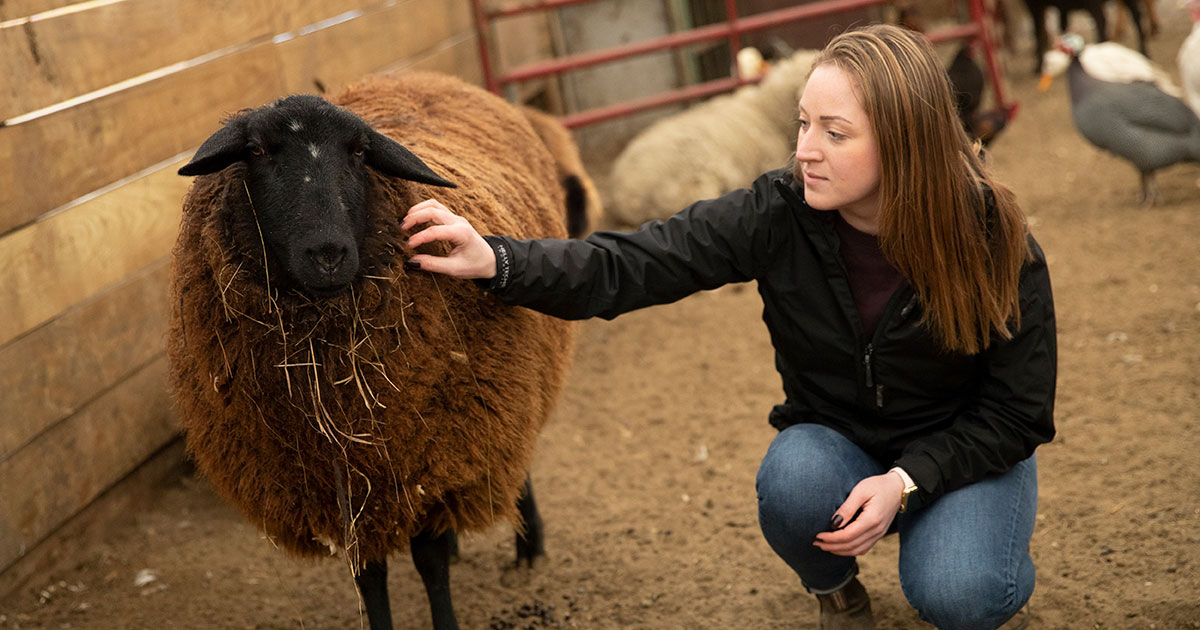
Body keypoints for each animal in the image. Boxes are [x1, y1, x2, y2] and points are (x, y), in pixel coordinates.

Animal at [168, 71, 581, 630]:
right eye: (255, 150)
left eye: (361, 152)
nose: (327, 255)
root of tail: (425, 75)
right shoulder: (344, 491)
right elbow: (369, 577)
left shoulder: (432, 452)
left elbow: (429, 562)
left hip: (506, 392)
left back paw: (528, 546)